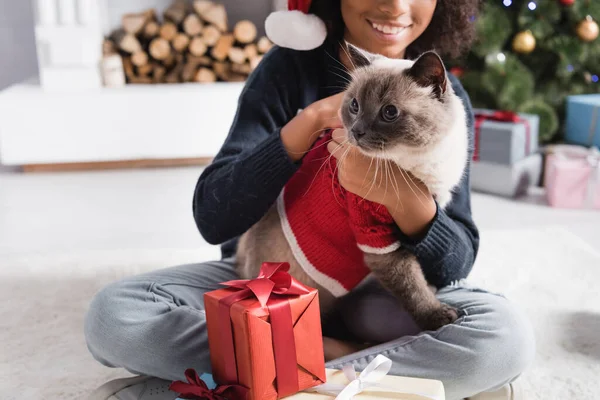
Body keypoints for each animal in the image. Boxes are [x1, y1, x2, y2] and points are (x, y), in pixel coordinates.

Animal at [237, 45, 472, 334]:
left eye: (390, 112)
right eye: (355, 105)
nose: (357, 132)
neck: (415, 164)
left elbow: (422, 280)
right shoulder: (377, 239)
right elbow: (413, 287)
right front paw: (438, 316)